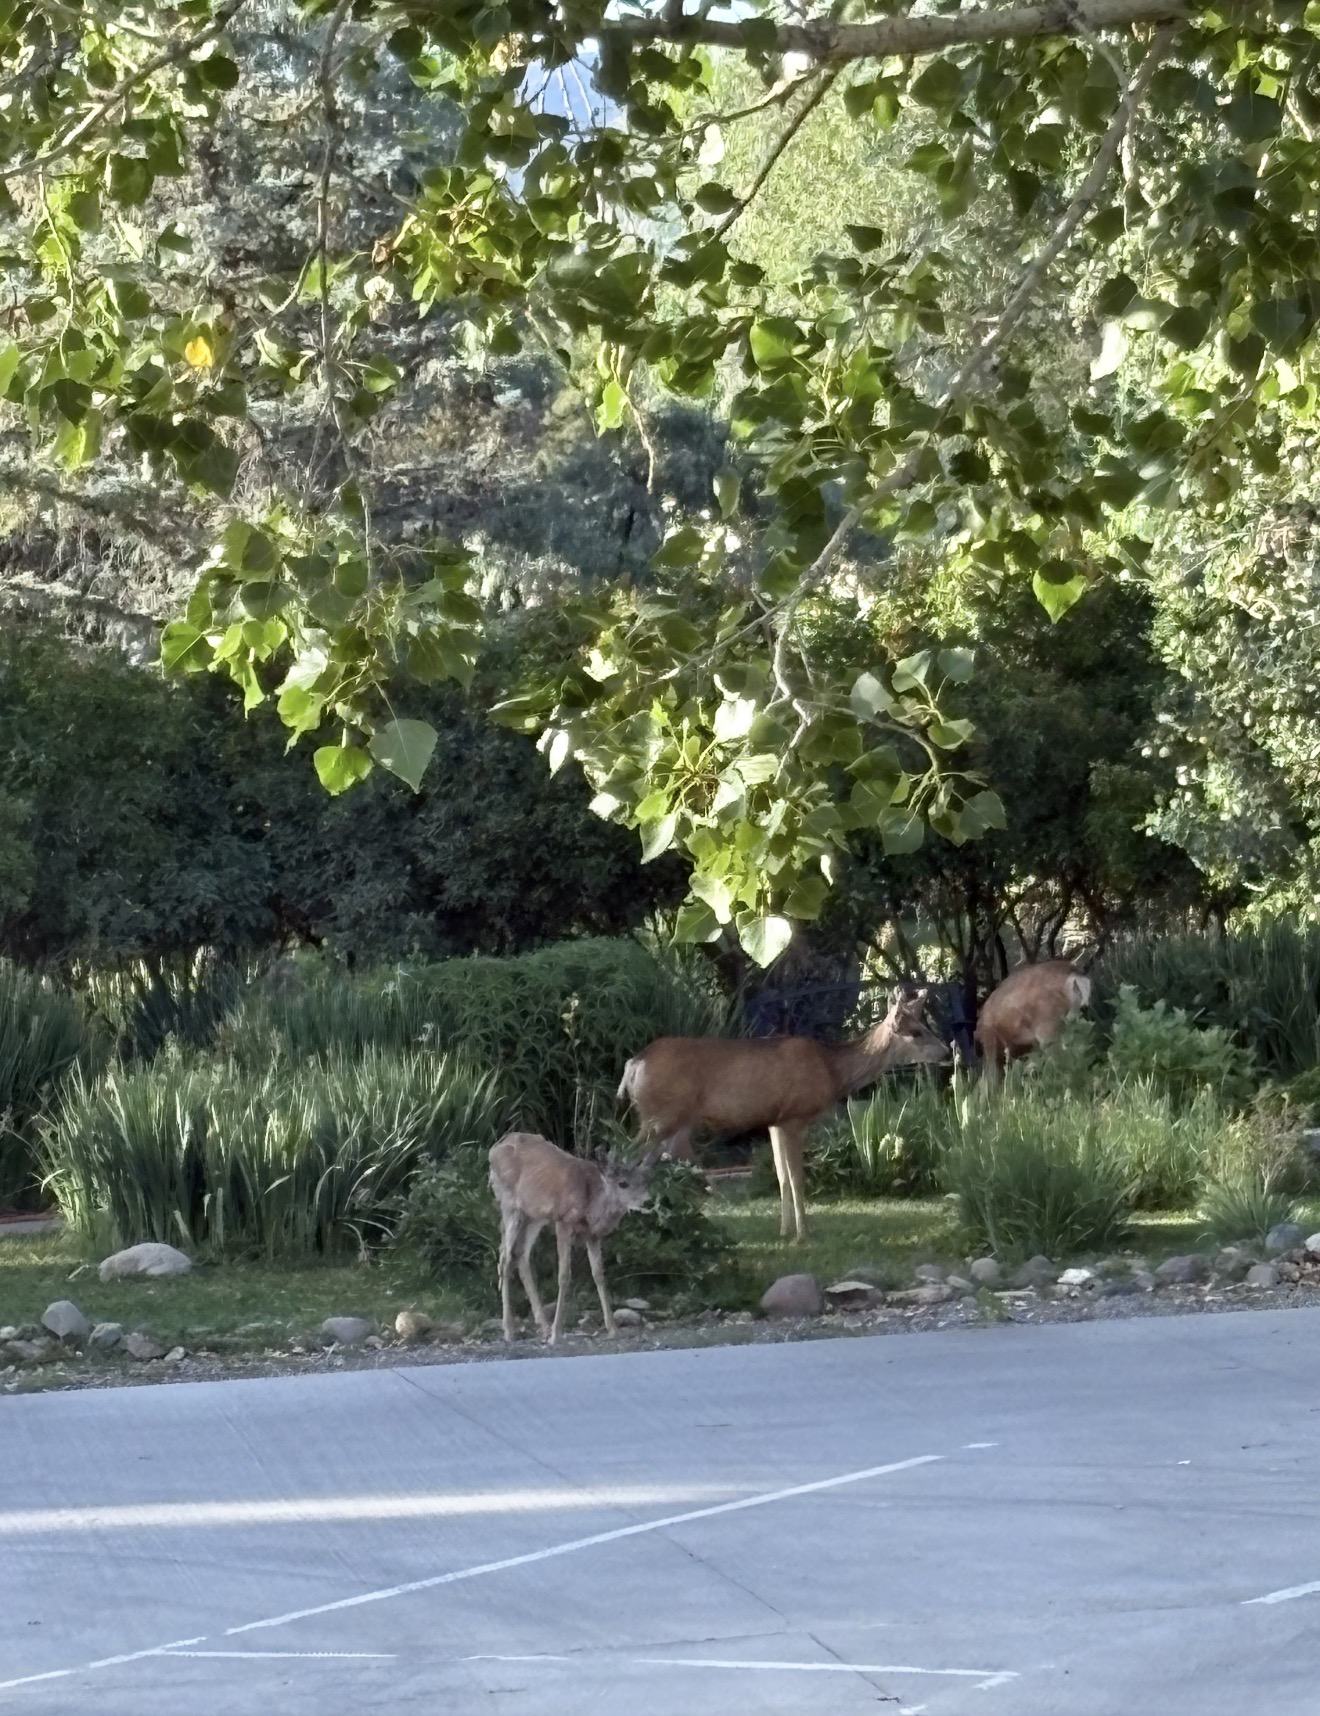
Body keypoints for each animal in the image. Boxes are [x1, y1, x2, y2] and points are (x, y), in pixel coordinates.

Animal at [488, 1132, 658, 1345]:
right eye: (623, 1183)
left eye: (646, 1181)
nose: (649, 1202)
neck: (590, 1204)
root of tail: (495, 1147)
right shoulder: (563, 1222)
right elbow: (564, 1276)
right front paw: (556, 1334)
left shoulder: (592, 1235)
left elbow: (599, 1275)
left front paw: (613, 1329)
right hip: (509, 1204)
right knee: (505, 1258)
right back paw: (510, 1330)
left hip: (535, 1215)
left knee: (521, 1256)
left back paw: (543, 1326)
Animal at [616, 990, 950, 1244]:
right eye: (916, 1032)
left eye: (926, 1024)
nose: (946, 1051)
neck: (832, 1070)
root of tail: (632, 1065)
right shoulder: (794, 1116)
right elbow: (797, 1178)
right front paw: (804, 1234)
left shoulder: (774, 1121)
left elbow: (781, 1177)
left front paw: (784, 1231)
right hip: (660, 1117)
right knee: (621, 1158)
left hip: (665, 1121)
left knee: (643, 1167)